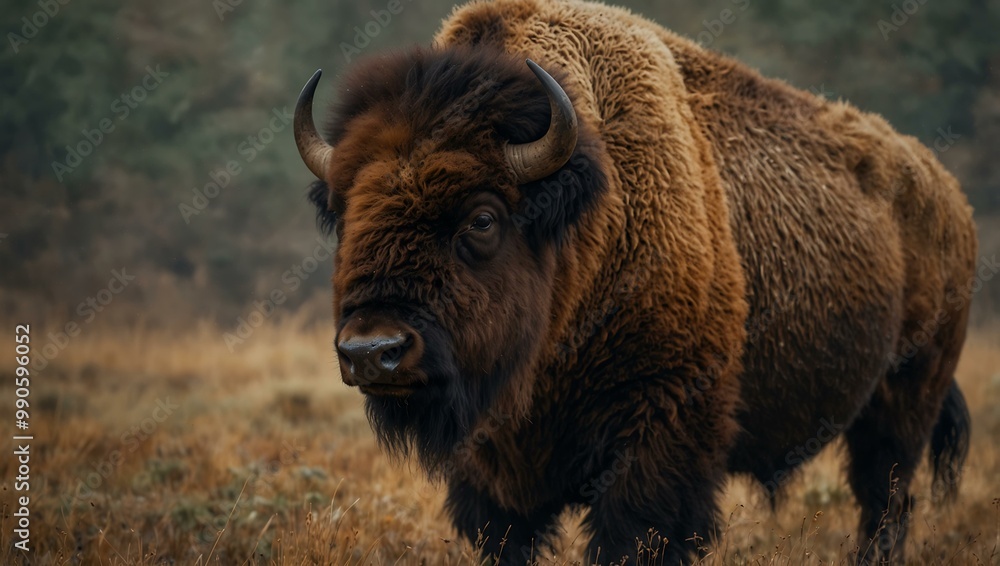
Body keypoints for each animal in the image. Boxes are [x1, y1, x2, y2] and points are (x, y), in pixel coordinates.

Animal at [295, 0, 977, 563]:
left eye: (482, 218)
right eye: (344, 211)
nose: (373, 351)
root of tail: (950, 196)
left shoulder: (664, 424)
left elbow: (636, 533)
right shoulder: (493, 465)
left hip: (906, 398)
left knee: (885, 499)